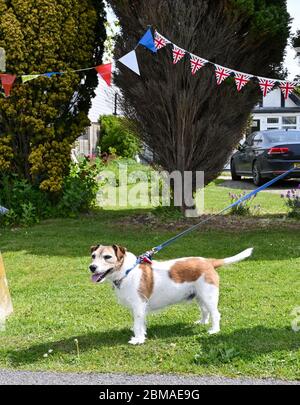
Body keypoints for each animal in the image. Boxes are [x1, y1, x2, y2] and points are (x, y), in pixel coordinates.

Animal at [89, 243, 253, 344]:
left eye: (107, 257)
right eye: (93, 256)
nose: (92, 267)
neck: (127, 271)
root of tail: (208, 262)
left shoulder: (139, 305)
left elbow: (137, 324)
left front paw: (138, 339)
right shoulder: (139, 308)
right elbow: (141, 323)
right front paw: (141, 333)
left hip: (209, 296)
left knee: (215, 314)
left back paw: (214, 330)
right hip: (199, 296)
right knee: (204, 311)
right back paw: (202, 322)